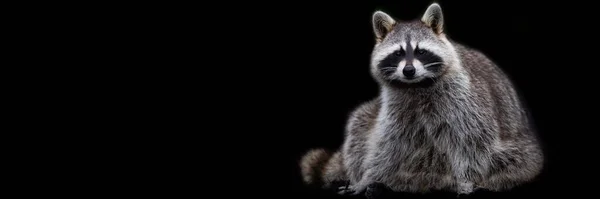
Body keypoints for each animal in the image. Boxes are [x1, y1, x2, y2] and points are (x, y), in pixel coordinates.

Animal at [300, 2, 544, 197]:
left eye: (421, 52)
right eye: (398, 53)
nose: (408, 70)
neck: (416, 85)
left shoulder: (464, 100)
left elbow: (472, 142)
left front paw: (467, 179)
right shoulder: (397, 105)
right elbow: (388, 145)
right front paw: (367, 178)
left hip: (520, 148)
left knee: (511, 161)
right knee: (358, 128)